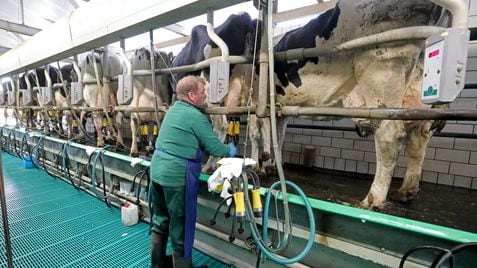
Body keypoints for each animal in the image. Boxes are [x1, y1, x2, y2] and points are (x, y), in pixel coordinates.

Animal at [171, 13, 270, 174]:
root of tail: (246, 19)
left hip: (213, 93)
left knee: (221, 126)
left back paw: (209, 165)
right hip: (256, 93)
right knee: (260, 125)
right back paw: (259, 164)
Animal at [274, 0, 448, 209]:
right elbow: (278, 135)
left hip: (382, 64)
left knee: (388, 134)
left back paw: (372, 200)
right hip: (415, 92)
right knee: (418, 139)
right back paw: (406, 192)